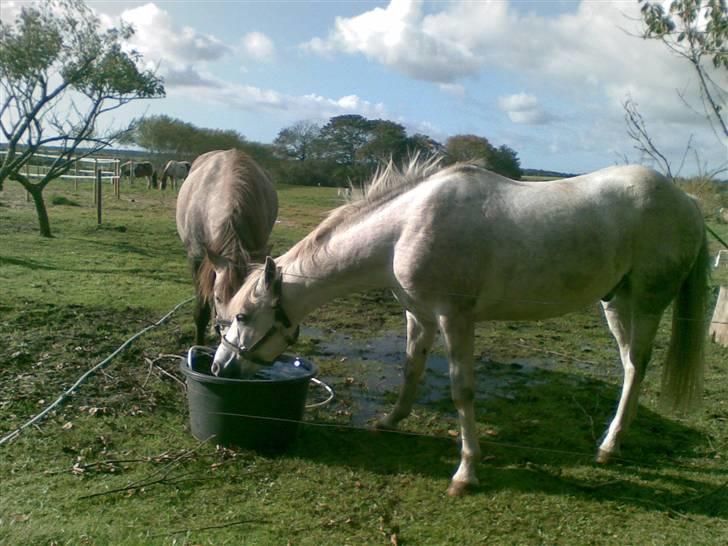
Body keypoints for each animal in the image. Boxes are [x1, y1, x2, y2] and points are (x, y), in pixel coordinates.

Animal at [213, 157, 708, 492]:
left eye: (241, 316)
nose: (220, 368)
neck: (406, 227)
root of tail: (686, 201)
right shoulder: (418, 315)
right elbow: (411, 369)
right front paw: (390, 421)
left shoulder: (456, 319)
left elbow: (461, 391)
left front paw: (466, 472)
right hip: (616, 303)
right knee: (628, 367)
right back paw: (611, 441)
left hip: (646, 304)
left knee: (637, 367)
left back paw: (609, 445)